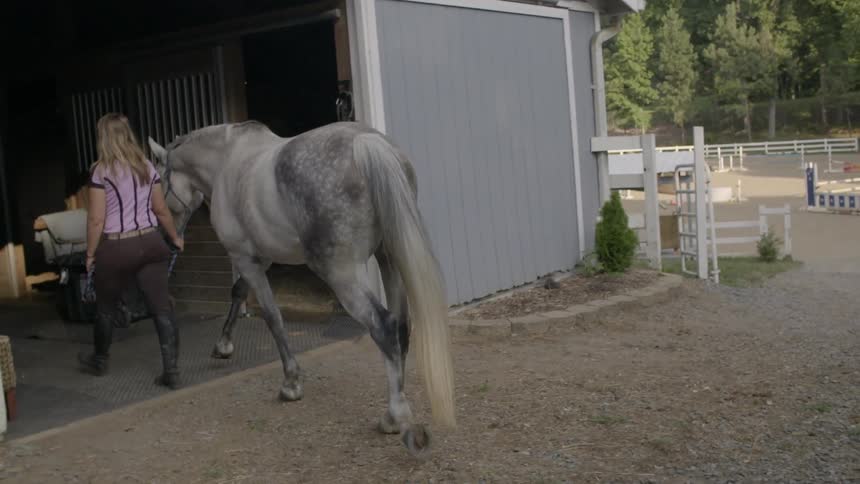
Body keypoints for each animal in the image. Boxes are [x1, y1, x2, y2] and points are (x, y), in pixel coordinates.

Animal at [146, 120, 455, 455]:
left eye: (156, 185)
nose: (166, 238)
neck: (227, 160)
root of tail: (367, 143)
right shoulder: (262, 258)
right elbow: (239, 293)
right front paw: (223, 346)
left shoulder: (245, 259)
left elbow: (272, 316)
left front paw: (291, 384)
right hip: (389, 259)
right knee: (401, 327)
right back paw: (393, 412)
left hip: (343, 273)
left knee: (384, 327)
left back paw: (397, 419)